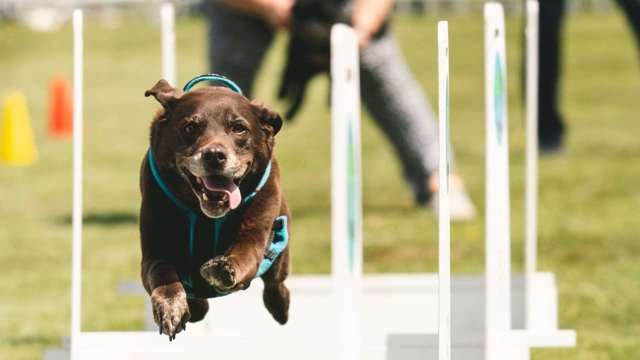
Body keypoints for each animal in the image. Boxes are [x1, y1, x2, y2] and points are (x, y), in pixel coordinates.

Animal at [141, 79, 292, 340]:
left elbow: (245, 253)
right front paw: (171, 307)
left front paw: (223, 268)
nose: (214, 155)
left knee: (276, 281)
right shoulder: (153, 251)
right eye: (190, 127)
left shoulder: (256, 227)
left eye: (239, 128)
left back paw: (279, 307)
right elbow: (161, 270)